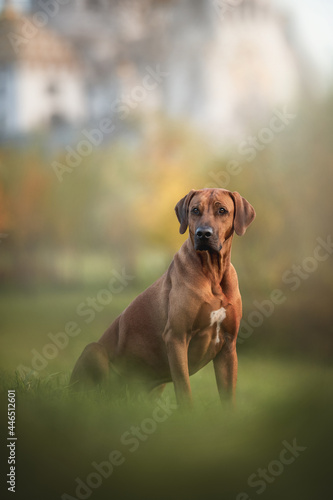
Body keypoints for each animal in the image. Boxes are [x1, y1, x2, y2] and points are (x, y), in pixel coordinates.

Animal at [70, 188, 254, 406]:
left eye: (222, 210)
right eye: (195, 210)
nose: (203, 234)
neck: (212, 273)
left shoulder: (228, 345)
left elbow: (228, 397)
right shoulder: (176, 337)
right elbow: (184, 389)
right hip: (94, 351)